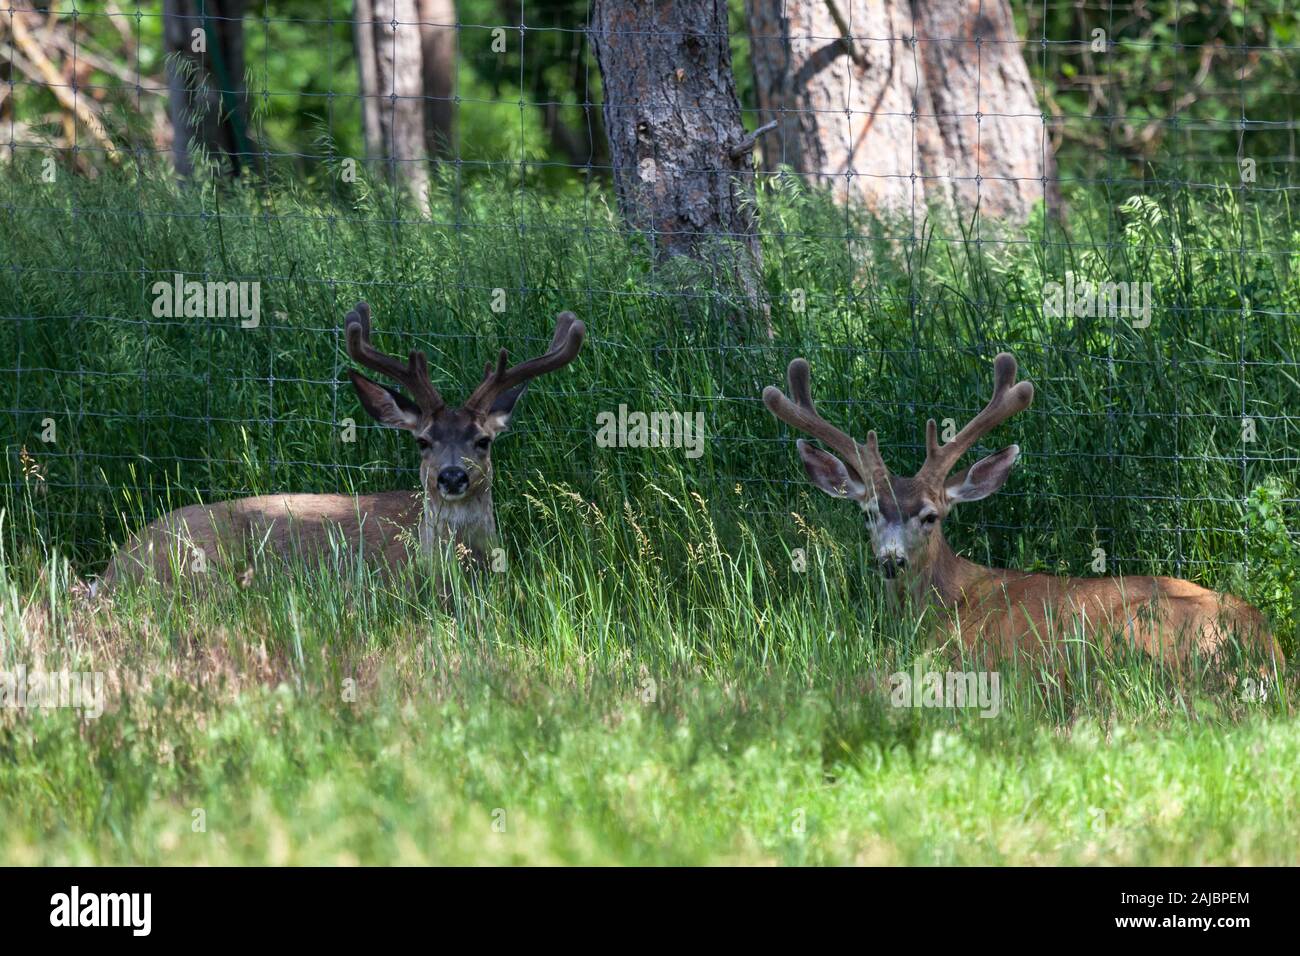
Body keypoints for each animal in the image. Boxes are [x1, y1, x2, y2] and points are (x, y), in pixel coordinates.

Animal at [764, 351, 1284, 671]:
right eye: (869, 512)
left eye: (931, 516)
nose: (891, 559)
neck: (945, 603)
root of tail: (1268, 652)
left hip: (1137, 629)